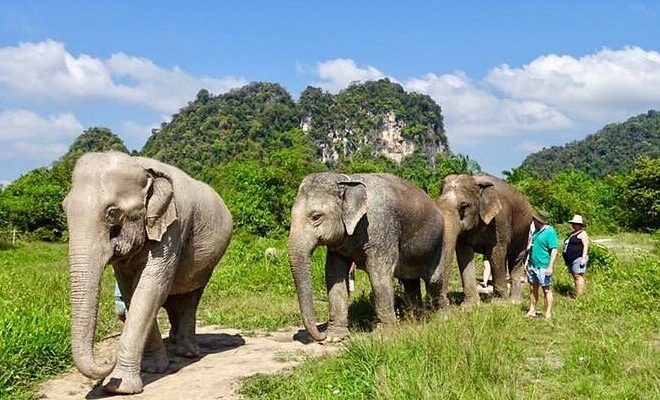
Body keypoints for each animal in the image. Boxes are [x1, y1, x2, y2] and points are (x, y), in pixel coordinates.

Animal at [63, 151, 233, 394]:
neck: (141, 167)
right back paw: (173, 343)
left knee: (191, 296)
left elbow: (149, 288)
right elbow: (131, 291)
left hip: (207, 265)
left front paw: (119, 386)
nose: (108, 360)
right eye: (64, 209)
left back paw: (187, 352)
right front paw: (152, 368)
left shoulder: (173, 227)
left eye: (112, 213)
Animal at [288, 172, 444, 342]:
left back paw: (439, 318)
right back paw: (414, 320)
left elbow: (378, 273)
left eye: (316, 216)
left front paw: (383, 334)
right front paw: (334, 337)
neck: (346, 181)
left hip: (440, 242)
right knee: (410, 282)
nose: (320, 334)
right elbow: (334, 275)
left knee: (434, 280)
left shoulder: (381, 227)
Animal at [431, 173, 533, 307]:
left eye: (463, 206)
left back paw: (515, 301)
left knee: (516, 259)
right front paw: (469, 306)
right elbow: (464, 254)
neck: (477, 181)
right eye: (438, 204)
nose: (447, 302)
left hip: (524, 231)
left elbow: (496, 253)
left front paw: (500, 303)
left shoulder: (500, 220)